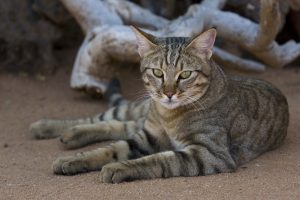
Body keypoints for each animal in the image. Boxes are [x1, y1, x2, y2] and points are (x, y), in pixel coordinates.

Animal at [29, 27, 288, 184]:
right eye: (157, 72)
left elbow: (159, 159)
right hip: (139, 110)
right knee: (106, 119)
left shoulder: (210, 153)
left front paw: (118, 168)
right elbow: (109, 149)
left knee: (118, 125)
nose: (168, 93)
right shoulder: (149, 136)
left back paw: (68, 134)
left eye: (185, 74)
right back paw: (52, 128)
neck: (168, 116)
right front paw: (74, 160)